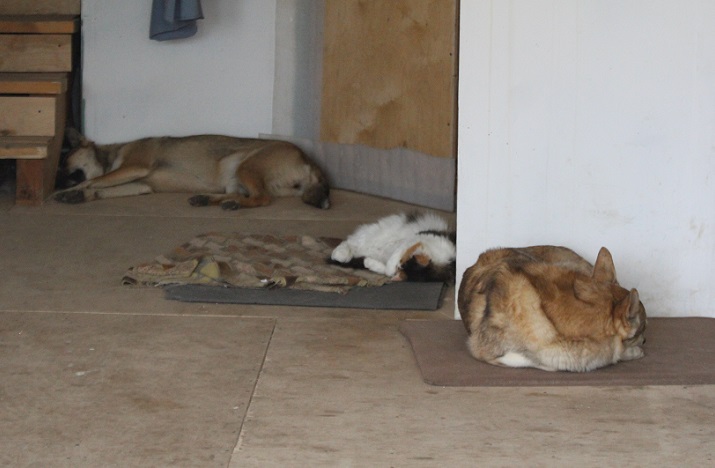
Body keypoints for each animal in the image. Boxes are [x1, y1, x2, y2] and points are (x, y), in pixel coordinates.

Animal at [54, 130, 330, 210]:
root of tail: (310, 161)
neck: (111, 155)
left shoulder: (134, 167)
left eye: (65, 163)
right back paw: (206, 199)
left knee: (261, 198)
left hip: (244, 164)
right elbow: (101, 187)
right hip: (234, 175)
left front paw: (71, 192)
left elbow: (96, 179)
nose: (56, 180)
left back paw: (232, 204)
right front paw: (80, 195)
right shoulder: (140, 184)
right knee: (244, 193)